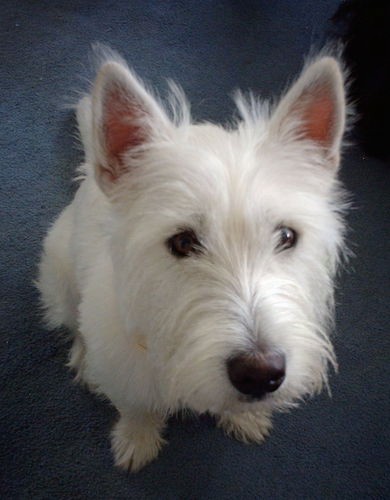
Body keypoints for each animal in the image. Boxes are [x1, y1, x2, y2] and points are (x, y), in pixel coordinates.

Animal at [37, 50, 348, 472]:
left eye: (286, 236)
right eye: (183, 242)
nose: (260, 374)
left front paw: (245, 417)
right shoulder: (125, 369)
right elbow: (135, 407)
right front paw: (136, 440)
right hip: (60, 273)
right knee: (74, 321)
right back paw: (84, 357)